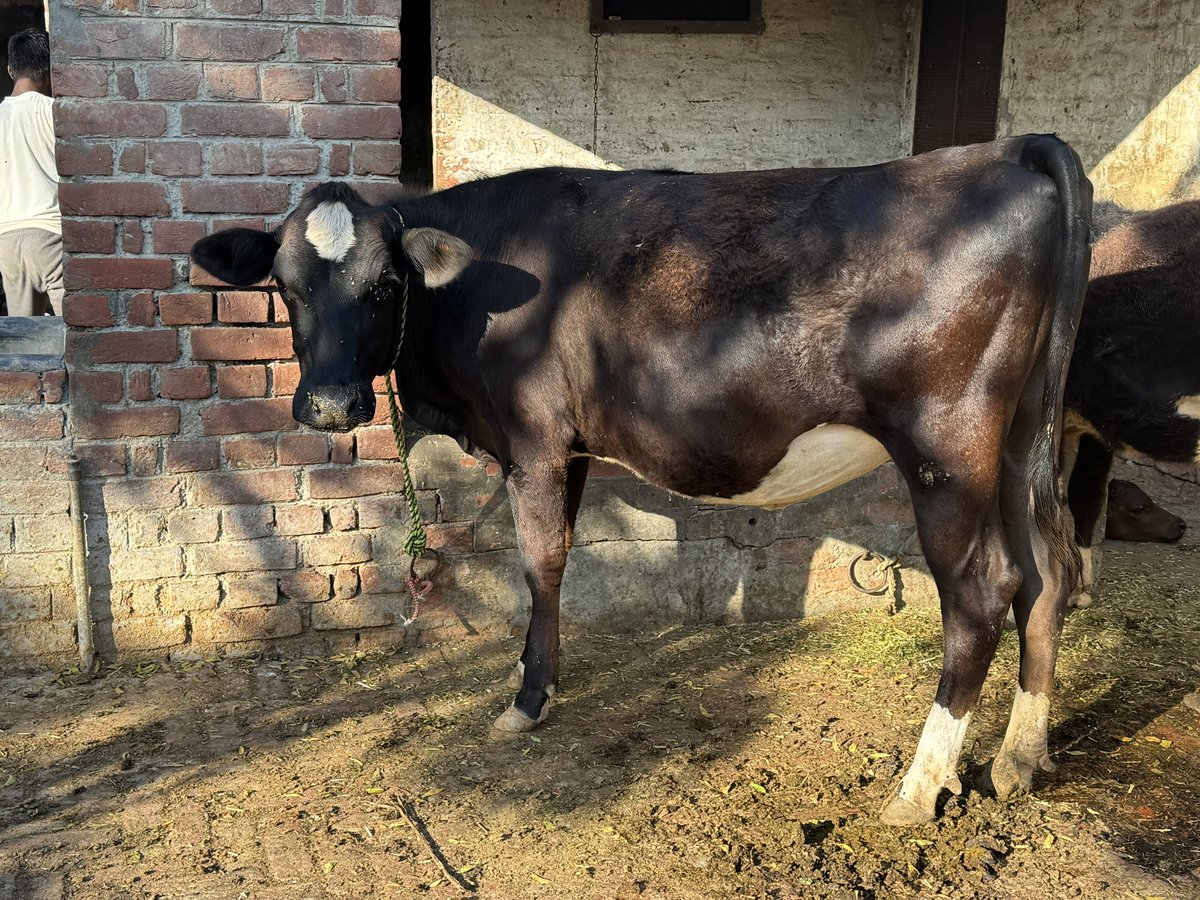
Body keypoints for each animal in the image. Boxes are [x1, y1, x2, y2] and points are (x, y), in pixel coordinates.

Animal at [192, 134, 1092, 825]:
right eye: (285, 285)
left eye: (384, 284)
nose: (330, 403)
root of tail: (1007, 149)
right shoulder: (575, 447)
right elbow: (557, 559)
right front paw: (539, 680)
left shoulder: (536, 439)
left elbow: (541, 562)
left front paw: (527, 701)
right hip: (1020, 442)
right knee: (1048, 573)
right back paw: (1019, 760)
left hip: (947, 446)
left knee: (982, 590)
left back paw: (918, 786)